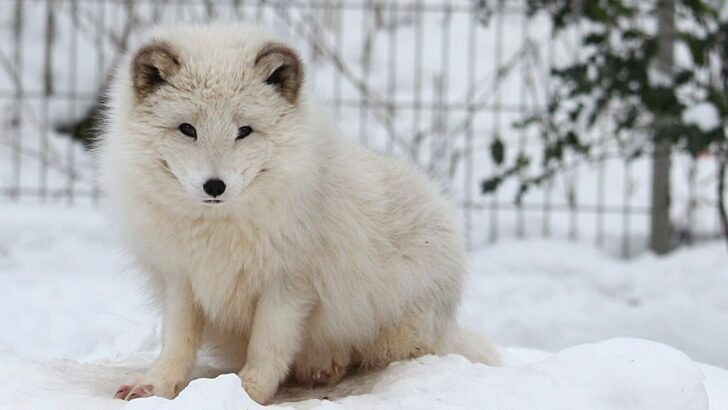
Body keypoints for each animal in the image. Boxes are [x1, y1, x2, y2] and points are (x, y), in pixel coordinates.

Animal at [98, 23, 500, 404]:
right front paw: (156, 384)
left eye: (244, 131)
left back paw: (326, 364)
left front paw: (246, 393)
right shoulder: (182, 279)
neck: (219, 229)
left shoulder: (288, 285)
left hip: (398, 329)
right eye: (187, 129)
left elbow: (267, 347)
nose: (215, 186)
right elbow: (177, 342)